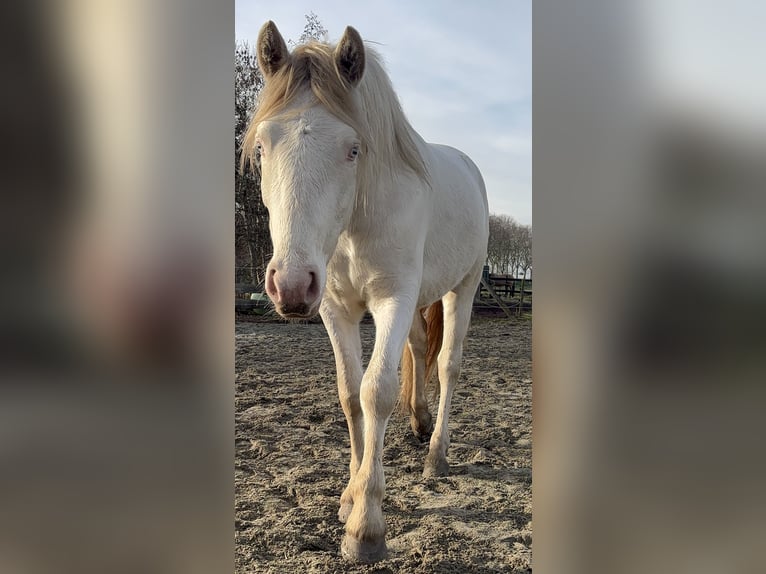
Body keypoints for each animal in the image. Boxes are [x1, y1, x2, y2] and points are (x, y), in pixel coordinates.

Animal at [242, 21, 490, 563]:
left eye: (353, 149)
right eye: (264, 146)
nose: (291, 282)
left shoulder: (393, 299)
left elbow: (377, 391)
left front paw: (366, 527)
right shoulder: (337, 309)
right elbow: (350, 394)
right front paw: (349, 496)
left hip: (463, 286)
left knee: (448, 364)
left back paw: (437, 455)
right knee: (419, 350)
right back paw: (419, 424)